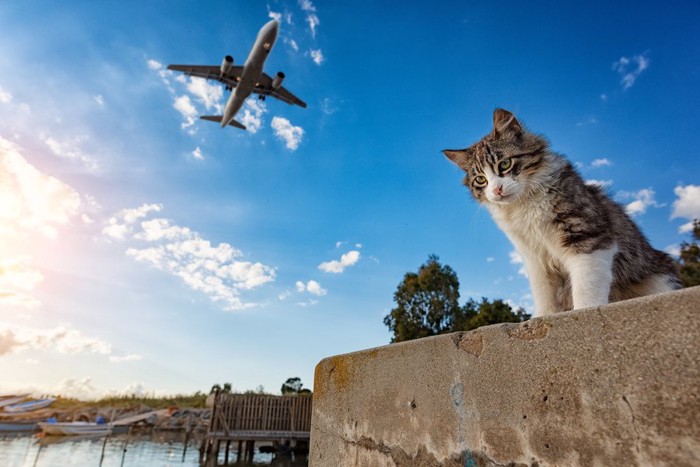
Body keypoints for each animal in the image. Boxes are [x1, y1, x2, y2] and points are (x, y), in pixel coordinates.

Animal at [442, 108, 680, 316]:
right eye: (480, 180)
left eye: (505, 164)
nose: (496, 190)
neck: (524, 206)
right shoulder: (534, 256)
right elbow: (544, 293)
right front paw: (542, 317)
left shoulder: (588, 237)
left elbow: (585, 287)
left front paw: (584, 312)